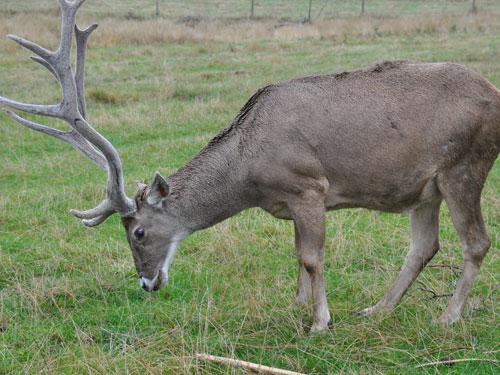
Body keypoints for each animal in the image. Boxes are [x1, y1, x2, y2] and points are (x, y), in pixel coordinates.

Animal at [0, 0, 500, 334]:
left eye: (138, 232)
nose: (146, 283)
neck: (250, 174)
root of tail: (495, 97)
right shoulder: (293, 203)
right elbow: (297, 256)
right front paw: (299, 305)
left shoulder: (309, 186)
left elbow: (312, 257)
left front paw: (320, 321)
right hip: (424, 188)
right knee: (424, 246)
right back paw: (376, 310)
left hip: (464, 166)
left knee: (476, 242)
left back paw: (447, 316)